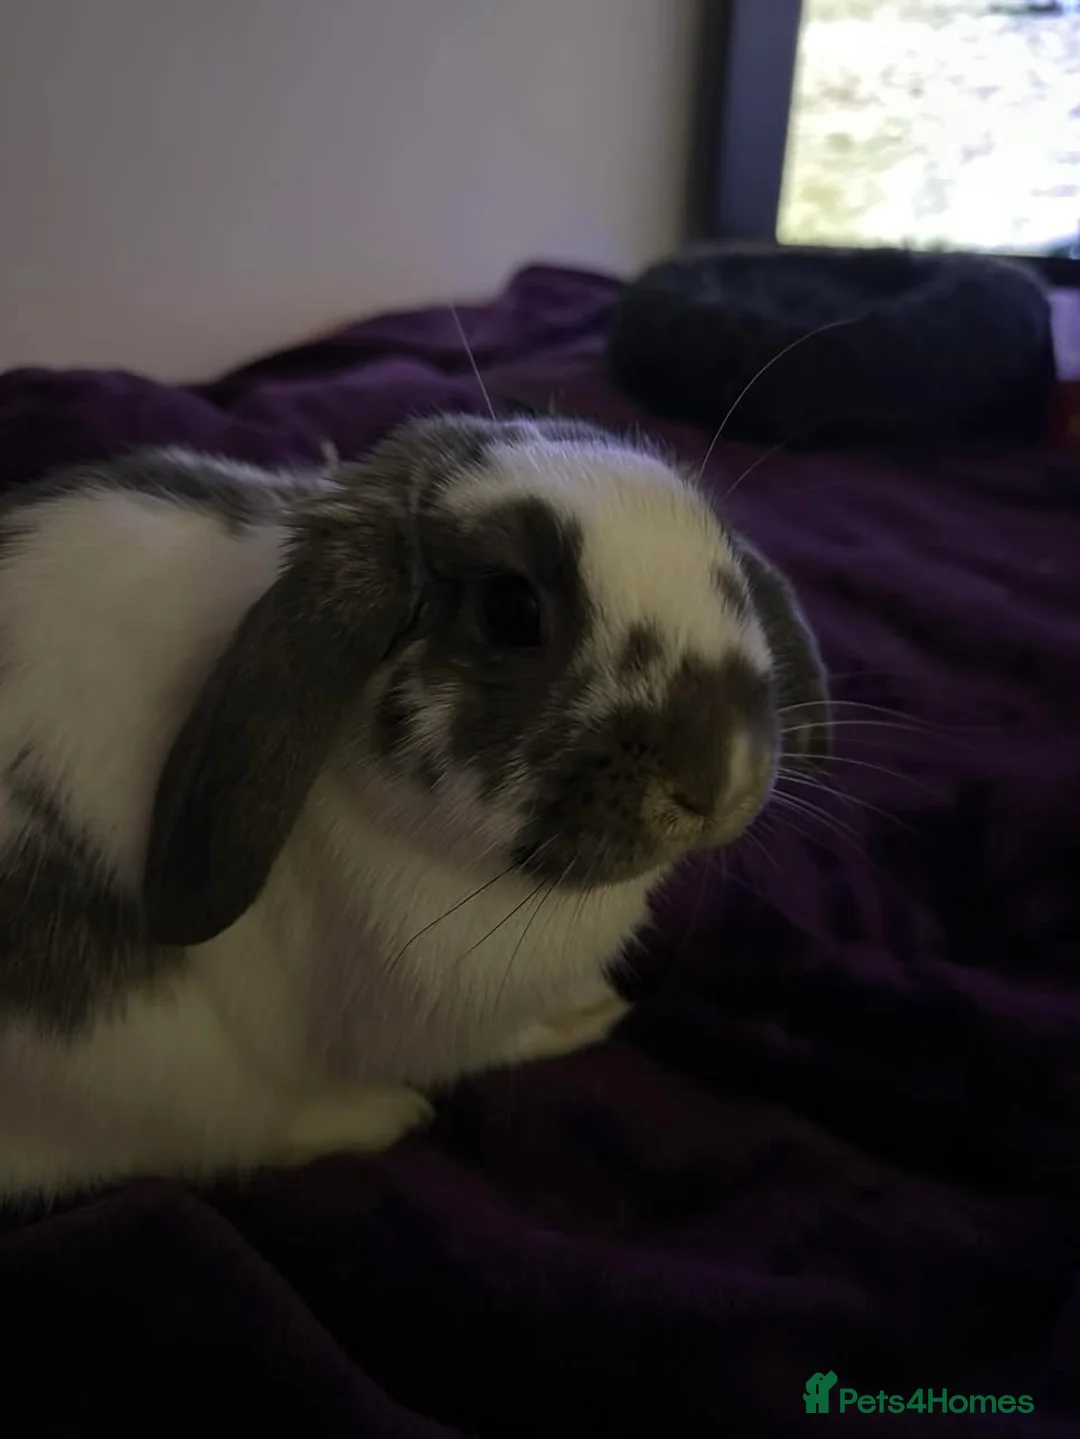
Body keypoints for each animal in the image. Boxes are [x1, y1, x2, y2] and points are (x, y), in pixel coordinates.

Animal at [0, 413, 830, 1201]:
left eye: (729, 569)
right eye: (510, 609)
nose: (721, 778)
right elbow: (500, 1042)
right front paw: (588, 1016)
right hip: (147, 1068)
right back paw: (378, 1116)